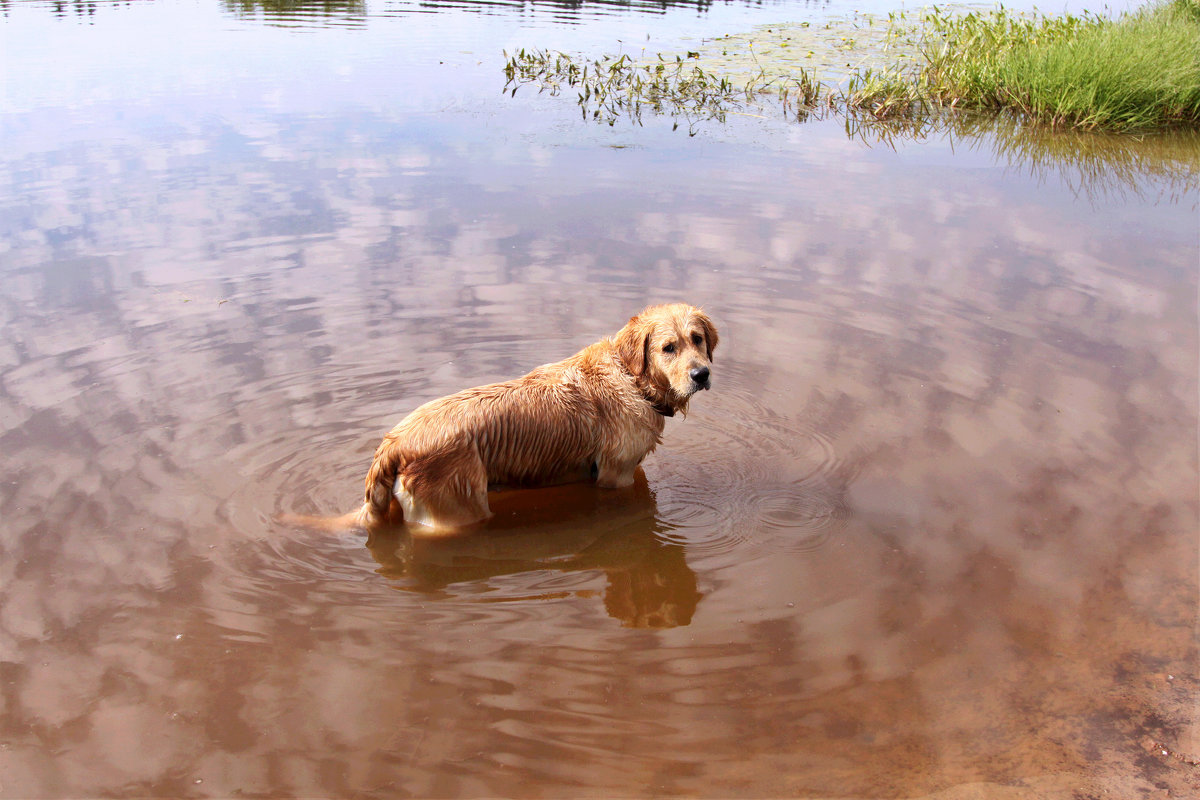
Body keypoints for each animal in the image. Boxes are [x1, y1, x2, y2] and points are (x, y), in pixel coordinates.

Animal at [285, 303, 715, 534]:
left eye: (697, 339)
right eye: (668, 347)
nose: (702, 374)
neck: (632, 377)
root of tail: (393, 443)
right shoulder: (617, 474)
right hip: (457, 509)